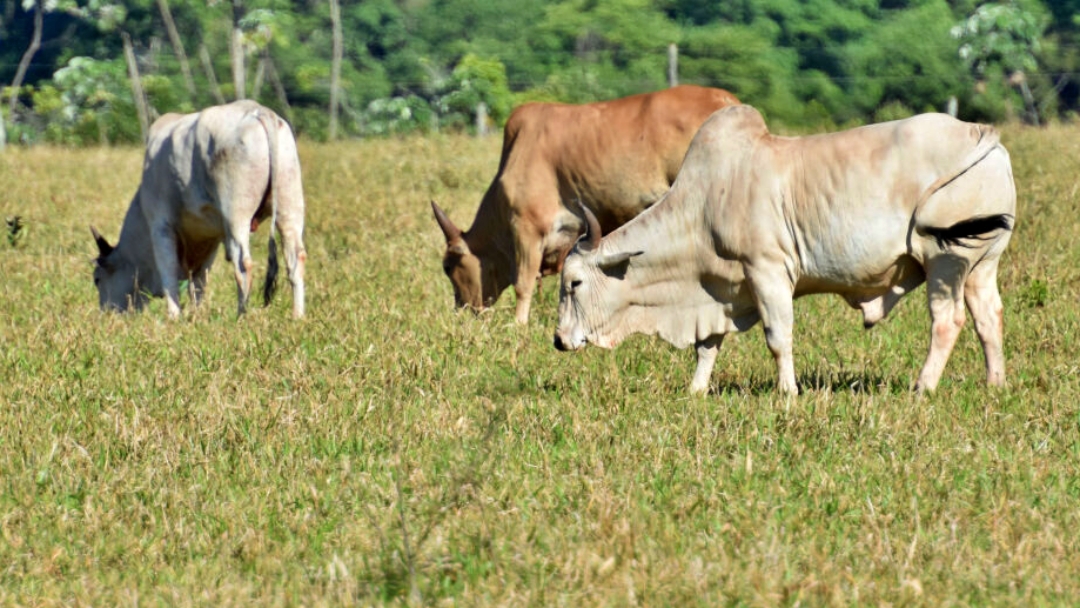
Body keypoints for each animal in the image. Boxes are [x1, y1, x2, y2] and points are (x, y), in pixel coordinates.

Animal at [91, 99, 308, 319]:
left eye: (97, 279)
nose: (105, 314)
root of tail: (259, 111)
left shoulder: (160, 226)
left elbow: (169, 273)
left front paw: (174, 316)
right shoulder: (210, 237)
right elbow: (198, 281)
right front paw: (197, 314)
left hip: (236, 215)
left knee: (243, 265)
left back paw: (241, 316)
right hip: (289, 206)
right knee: (295, 258)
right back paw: (297, 316)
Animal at [429, 84, 743, 328]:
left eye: (448, 266)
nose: (462, 312)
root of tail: (728, 101)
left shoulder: (527, 227)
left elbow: (523, 282)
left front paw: (518, 325)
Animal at [552, 105, 1015, 395]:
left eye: (574, 283)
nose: (558, 340)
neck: (705, 203)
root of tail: (981, 133)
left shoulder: (767, 271)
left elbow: (779, 337)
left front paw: (788, 391)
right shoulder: (719, 289)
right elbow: (708, 345)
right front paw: (696, 390)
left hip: (944, 260)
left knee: (947, 320)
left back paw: (923, 387)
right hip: (980, 265)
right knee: (987, 317)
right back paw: (995, 384)